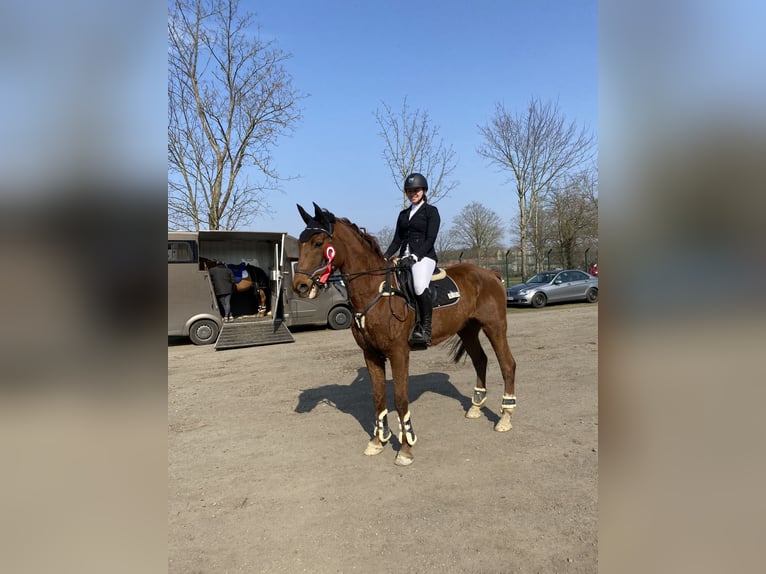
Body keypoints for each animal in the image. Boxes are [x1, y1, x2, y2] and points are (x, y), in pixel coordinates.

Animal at [292, 202, 520, 468]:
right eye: (300, 244)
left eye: (318, 243)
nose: (300, 286)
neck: (375, 291)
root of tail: (491, 274)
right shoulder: (371, 354)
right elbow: (378, 396)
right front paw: (377, 442)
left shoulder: (399, 353)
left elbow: (400, 399)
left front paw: (405, 447)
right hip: (468, 330)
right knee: (480, 360)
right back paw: (475, 407)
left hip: (495, 327)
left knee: (507, 364)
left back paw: (505, 417)